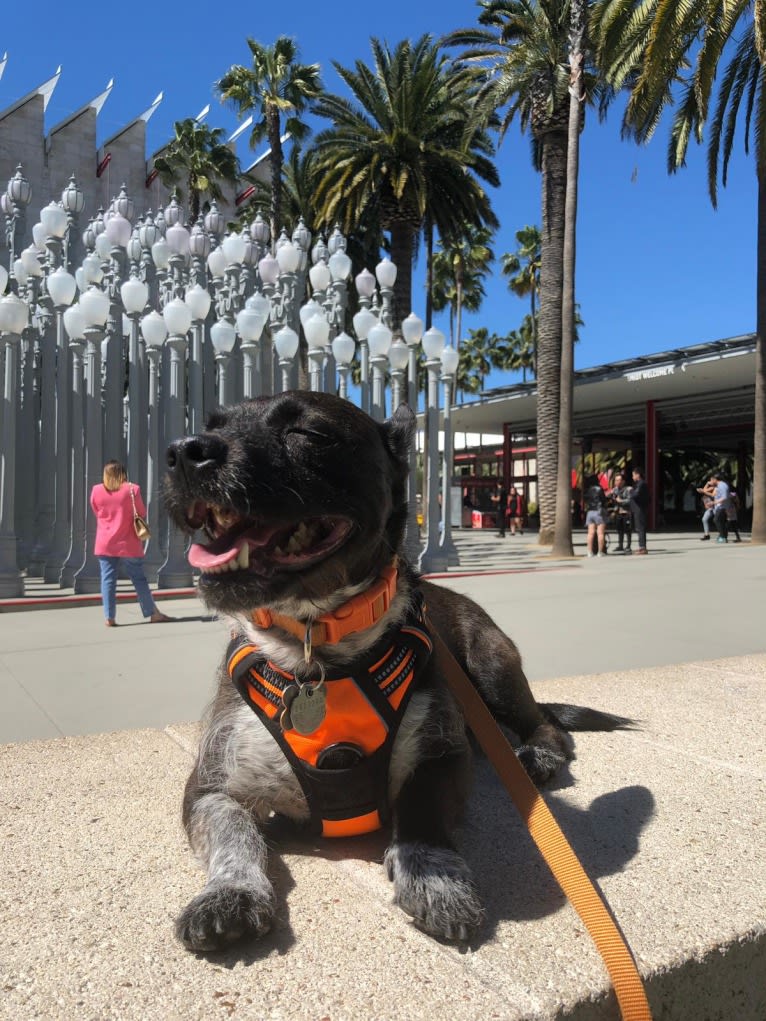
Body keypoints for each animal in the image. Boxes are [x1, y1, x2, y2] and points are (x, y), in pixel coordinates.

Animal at [162, 387, 629, 947]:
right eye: (209, 425)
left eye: (308, 433)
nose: (183, 451)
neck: (316, 647)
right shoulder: (211, 784)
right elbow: (235, 834)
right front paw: (231, 892)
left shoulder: (441, 757)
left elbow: (421, 815)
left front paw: (434, 880)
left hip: (490, 665)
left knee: (545, 723)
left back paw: (535, 754)